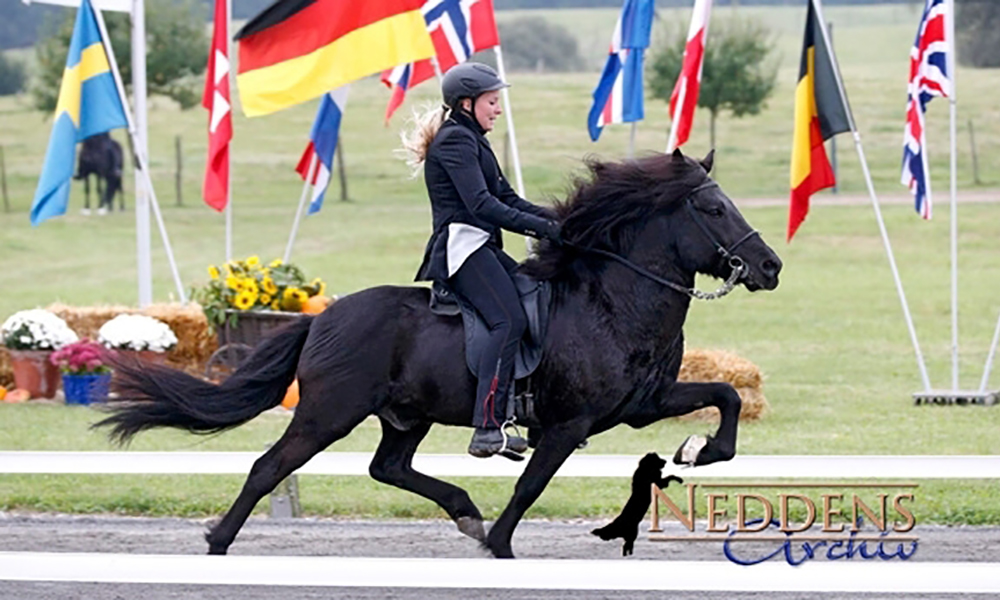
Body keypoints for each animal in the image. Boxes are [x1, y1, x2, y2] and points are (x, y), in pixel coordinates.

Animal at [95, 149, 780, 556]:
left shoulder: (644, 403)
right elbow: (531, 485)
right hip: (328, 412)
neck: (610, 299)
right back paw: (217, 542)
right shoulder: (570, 423)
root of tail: (323, 319)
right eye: (713, 207)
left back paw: (463, 510)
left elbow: (725, 396)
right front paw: (499, 545)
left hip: (406, 416)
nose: (770, 266)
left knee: (388, 468)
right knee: (270, 467)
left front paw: (700, 450)